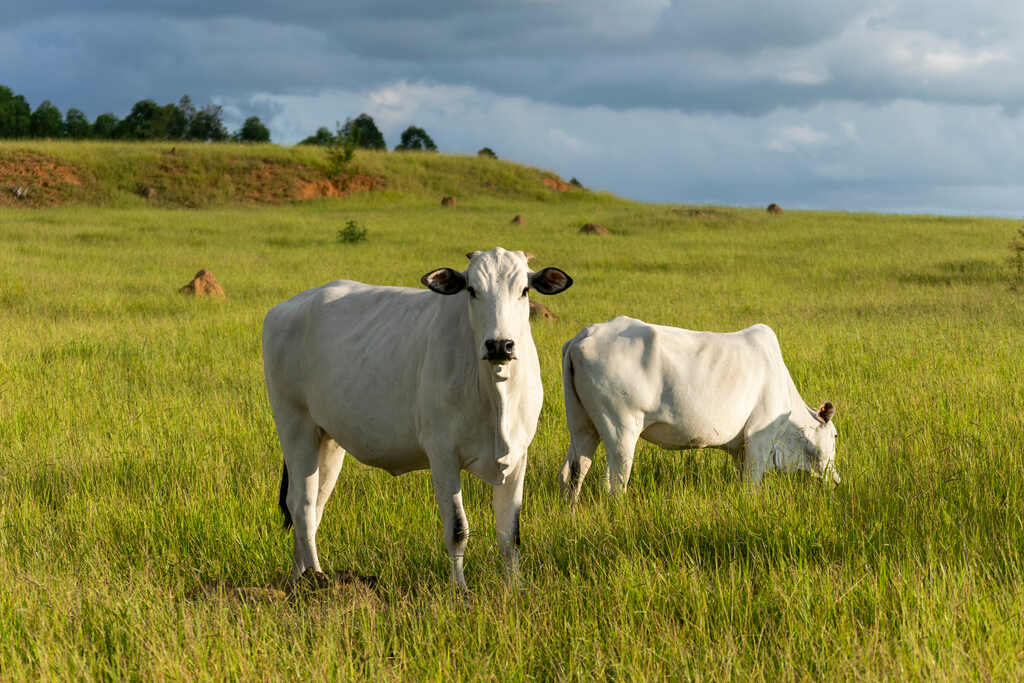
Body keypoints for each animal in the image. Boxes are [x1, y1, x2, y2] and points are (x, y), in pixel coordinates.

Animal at [262, 245, 577, 589]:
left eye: (524, 290)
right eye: (472, 290)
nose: (499, 345)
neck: (496, 395)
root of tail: (287, 307)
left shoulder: (518, 456)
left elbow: (510, 533)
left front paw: (514, 588)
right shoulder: (443, 455)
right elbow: (457, 530)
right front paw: (459, 590)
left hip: (328, 439)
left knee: (314, 506)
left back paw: (298, 578)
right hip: (295, 425)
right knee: (301, 505)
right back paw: (317, 579)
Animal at [561, 317, 839, 501]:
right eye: (835, 435)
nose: (836, 480)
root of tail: (583, 336)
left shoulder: (741, 449)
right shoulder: (759, 437)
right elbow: (751, 484)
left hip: (582, 425)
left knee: (572, 472)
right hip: (621, 429)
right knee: (615, 484)